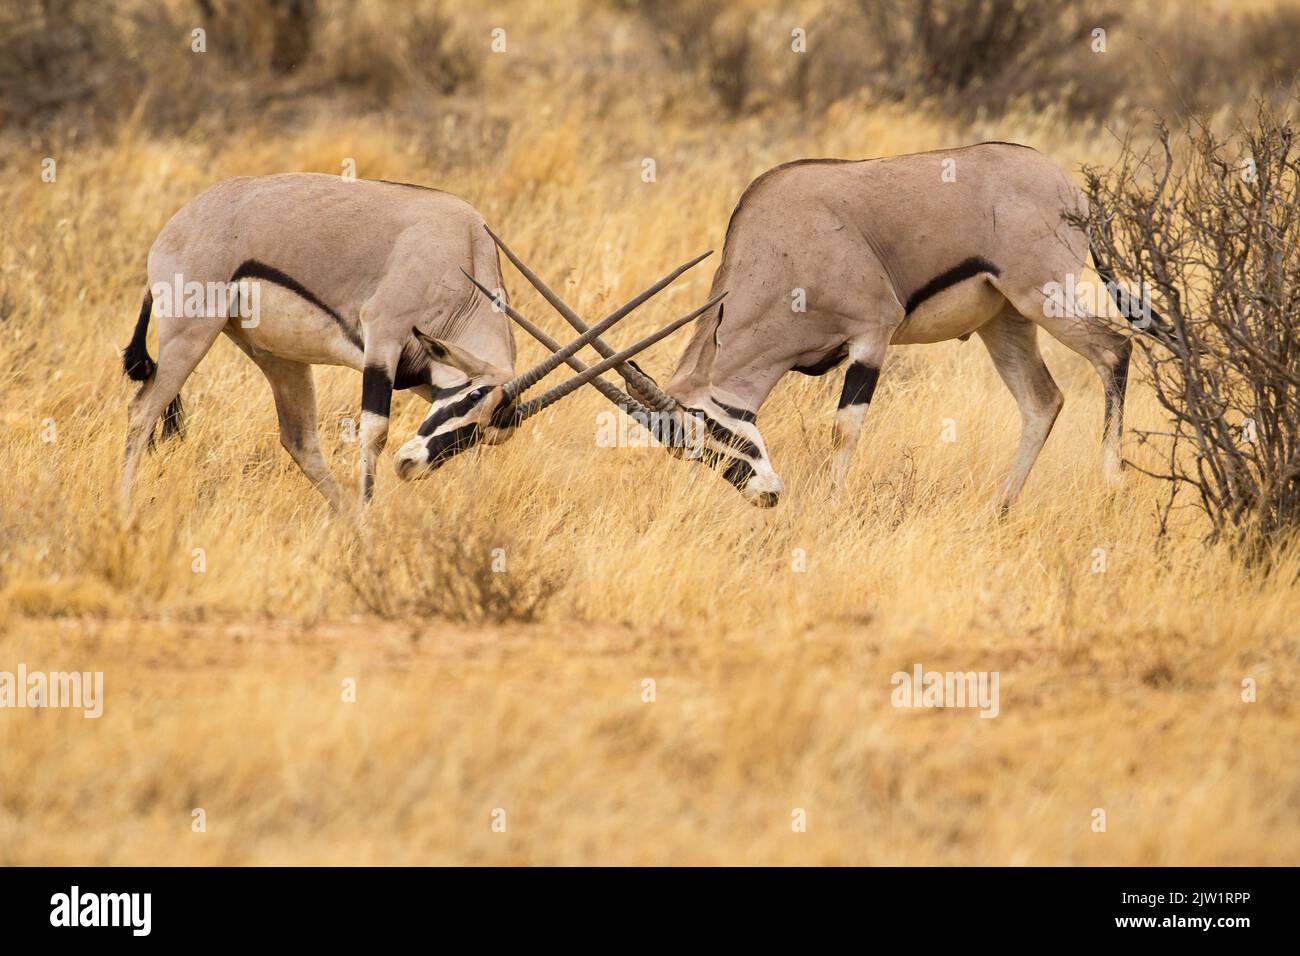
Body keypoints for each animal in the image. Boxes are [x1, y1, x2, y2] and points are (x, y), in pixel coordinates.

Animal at [119, 171, 712, 515]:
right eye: (472, 398)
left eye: (484, 432)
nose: (412, 466)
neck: (461, 252)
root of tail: (176, 226)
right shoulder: (383, 339)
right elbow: (375, 431)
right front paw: (373, 523)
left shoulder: (425, 374)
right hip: (190, 335)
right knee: (142, 411)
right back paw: (124, 510)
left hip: (278, 358)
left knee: (299, 439)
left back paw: (346, 515)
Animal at [478, 141, 1149, 509]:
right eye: (697, 453)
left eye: (716, 435)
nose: (769, 497)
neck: (782, 246)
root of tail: (1066, 185)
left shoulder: (872, 335)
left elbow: (842, 431)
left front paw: (828, 508)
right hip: (1004, 321)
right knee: (1042, 400)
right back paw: (998, 511)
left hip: (1043, 297)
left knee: (1114, 350)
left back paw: (1112, 486)